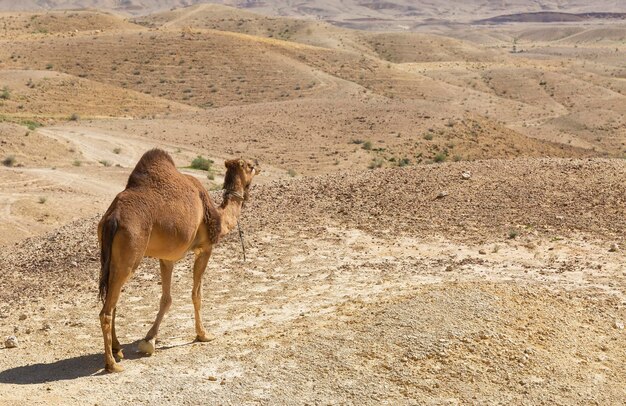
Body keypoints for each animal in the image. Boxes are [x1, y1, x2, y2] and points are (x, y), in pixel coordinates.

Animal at [96, 147, 258, 372]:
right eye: (250, 166)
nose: (258, 165)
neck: (218, 216)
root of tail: (112, 218)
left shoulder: (167, 258)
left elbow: (166, 299)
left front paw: (149, 340)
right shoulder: (205, 248)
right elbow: (197, 294)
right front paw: (203, 334)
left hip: (109, 256)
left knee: (112, 302)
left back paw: (117, 349)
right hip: (130, 253)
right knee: (106, 310)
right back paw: (112, 364)